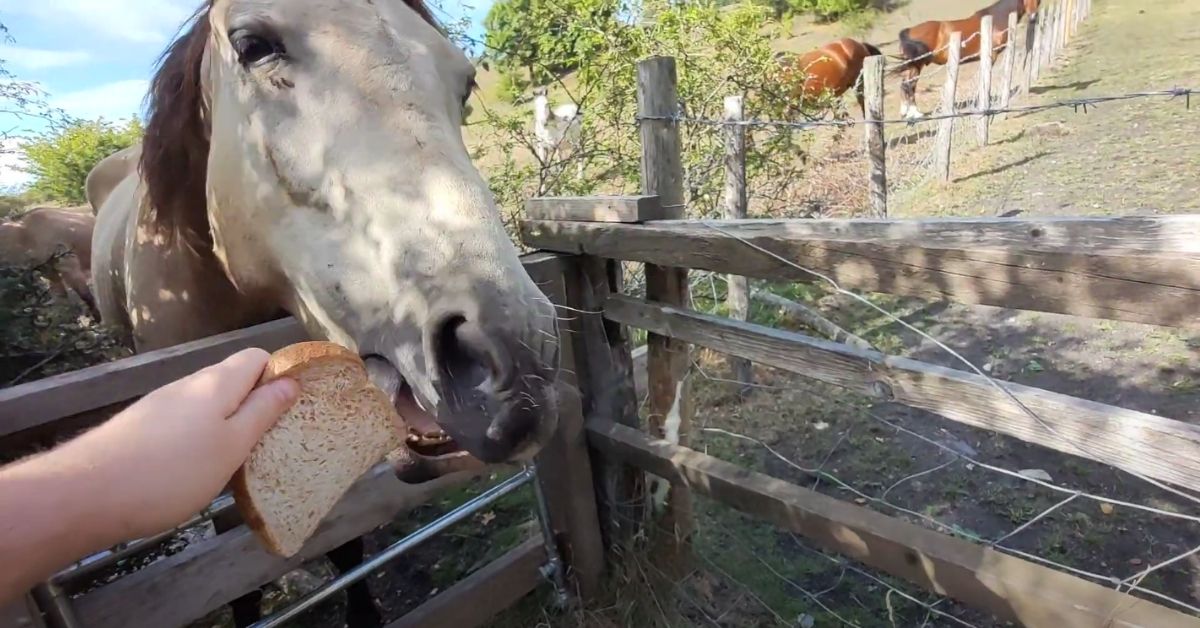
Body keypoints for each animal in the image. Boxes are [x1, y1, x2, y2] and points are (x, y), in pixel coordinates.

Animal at [892, 0, 1041, 120]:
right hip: (917, 65)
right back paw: (915, 114)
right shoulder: (991, 56)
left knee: (904, 85)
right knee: (909, 86)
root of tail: (908, 31)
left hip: (912, 66)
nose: (1033, 17)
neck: (996, 19)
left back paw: (905, 112)